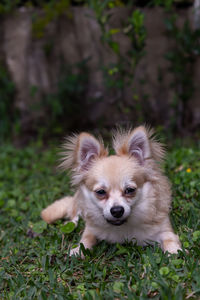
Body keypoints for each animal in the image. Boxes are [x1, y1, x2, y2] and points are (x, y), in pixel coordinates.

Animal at [41, 125, 181, 255]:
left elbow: (170, 240)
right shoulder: (91, 229)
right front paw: (78, 251)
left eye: (130, 190)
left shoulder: (165, 230)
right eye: (101, 192)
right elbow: (86, 238)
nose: (117, 210)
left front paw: (175, 251)